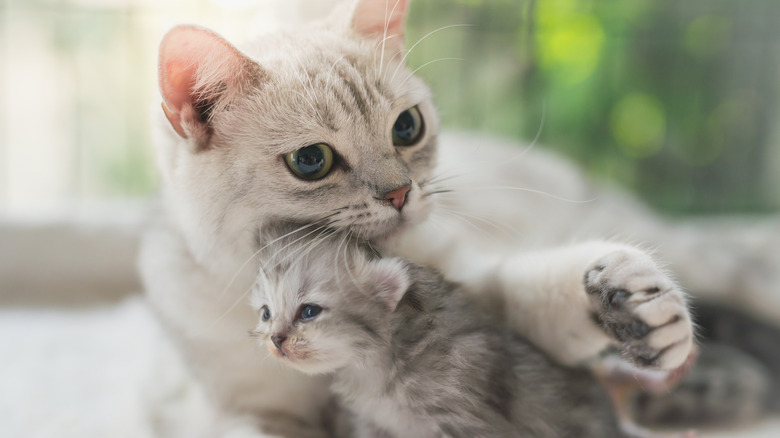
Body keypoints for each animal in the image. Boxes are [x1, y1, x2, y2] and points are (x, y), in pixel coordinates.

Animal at [140, 1, 696, 436]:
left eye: (407, 127)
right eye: (311, 160)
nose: (401, 193)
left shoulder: (468, 287)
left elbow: (527, 290)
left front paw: (632, 300)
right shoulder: (249, 412)